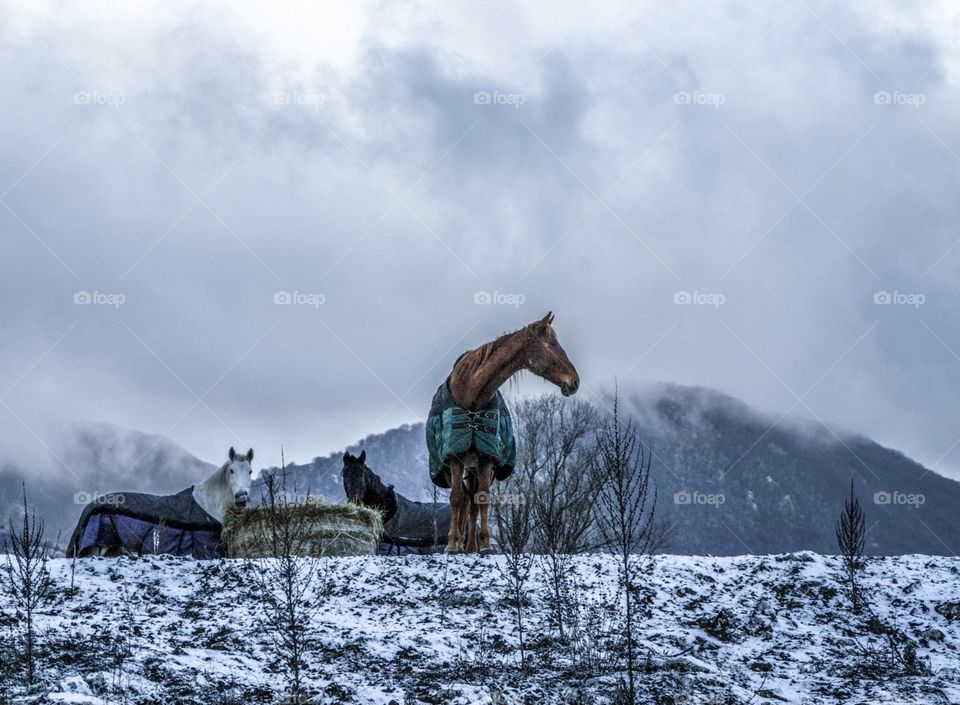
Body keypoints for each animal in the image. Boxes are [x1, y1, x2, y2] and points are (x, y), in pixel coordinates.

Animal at [66, 447, 254, 558]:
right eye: (231, 470)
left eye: (250, 471)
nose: (241, 497)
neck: (207, 505)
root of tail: (89, 507)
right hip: (98, 548)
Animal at [427, 311, 579, 555]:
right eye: (553, 343)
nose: (575, 382)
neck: (471, 396)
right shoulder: (453, 458)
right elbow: (457, 499)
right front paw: (452, 544)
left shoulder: (487, 459)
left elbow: (482, 499)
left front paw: (486, 545)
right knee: (463, 501)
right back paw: (460, 543)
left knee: (472, 503)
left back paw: (470, 546)